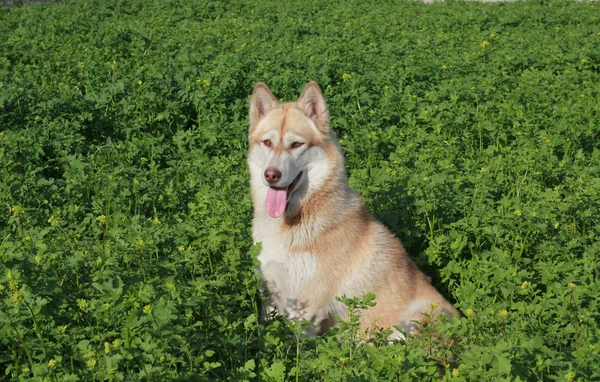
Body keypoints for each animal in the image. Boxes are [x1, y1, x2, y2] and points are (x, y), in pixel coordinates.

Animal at [246, 82, 458, 338]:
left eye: (296, 144)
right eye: (267, 142)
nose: (271, 175)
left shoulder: (305, 311)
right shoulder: (269, 293)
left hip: (410, 323)